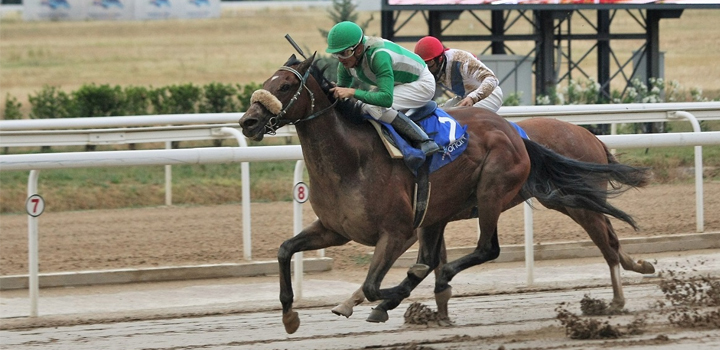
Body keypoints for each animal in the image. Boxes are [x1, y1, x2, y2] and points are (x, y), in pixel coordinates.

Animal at [332, 119, 660, 324]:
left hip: (575, 202)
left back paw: (618, 298)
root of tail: (590, 135)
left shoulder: (412, 221)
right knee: (610, 236)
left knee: (606, 242)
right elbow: (427, 260)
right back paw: (639, 267)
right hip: (567, 200)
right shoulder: (429, 218)